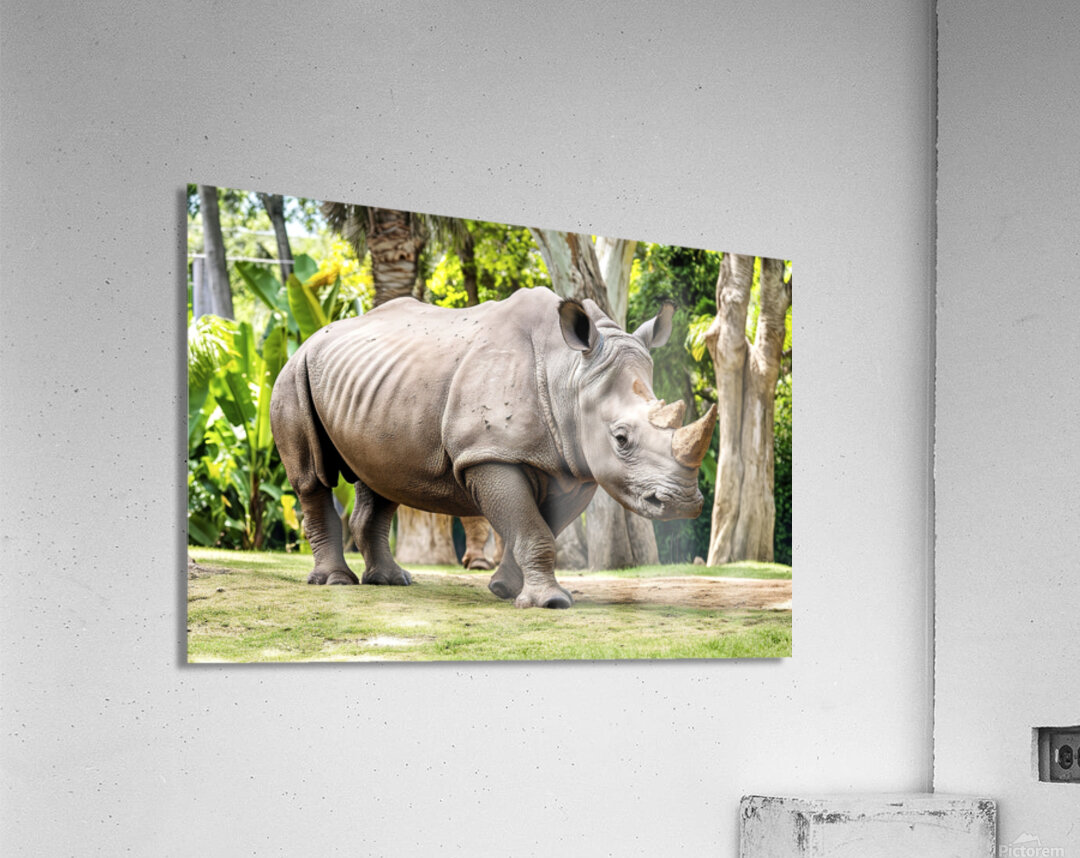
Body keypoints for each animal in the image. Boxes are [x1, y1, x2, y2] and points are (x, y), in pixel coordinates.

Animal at [269, 286, 717, 609]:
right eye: (621, 438)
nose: (682, 503)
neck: (569, 374)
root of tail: (310, 337)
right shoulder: (488, 453)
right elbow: (532, 527)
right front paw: (550, 603)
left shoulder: (575, 466)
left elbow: (540, 526)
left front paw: (505, 589)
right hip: (293, 373)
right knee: (312, 479)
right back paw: (336, 582)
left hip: (372, 386)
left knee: (379, 480)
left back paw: (391, 581)